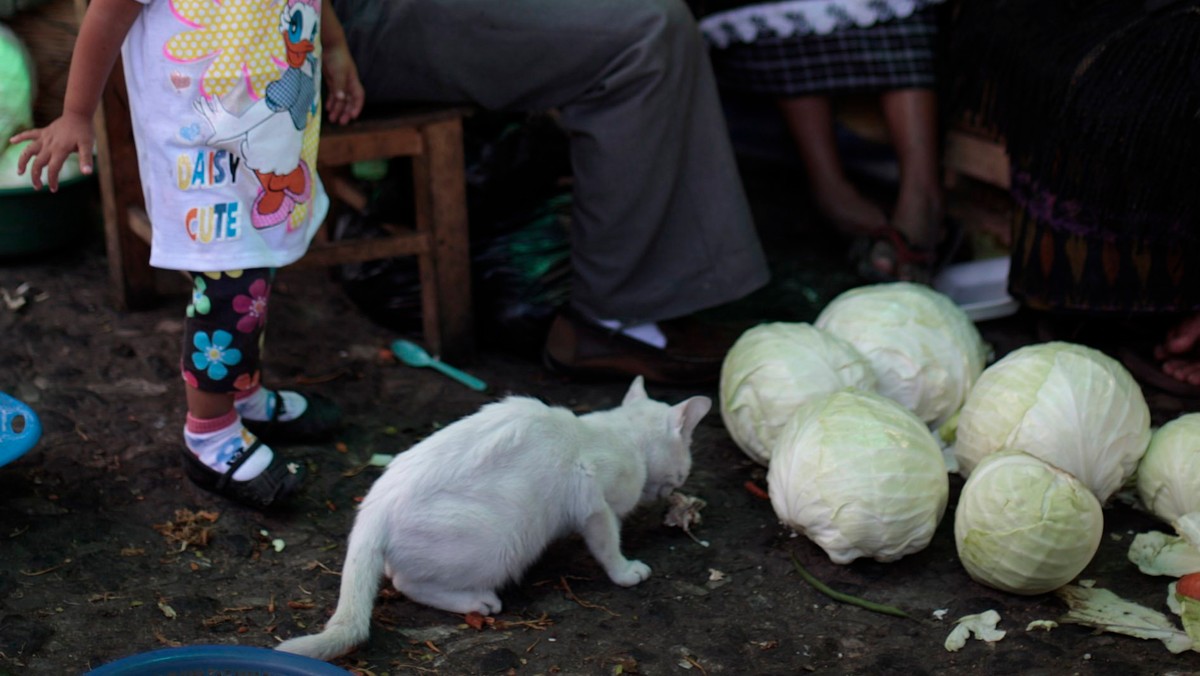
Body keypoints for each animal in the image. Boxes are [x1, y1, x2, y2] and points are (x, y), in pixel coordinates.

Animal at [274, 379, 705, 657]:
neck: (619, 434)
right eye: (685, 464)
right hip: (500, 542)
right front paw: (626, 571)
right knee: (406, 582)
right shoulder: (593, 499)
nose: (679, 482)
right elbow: (607, 543)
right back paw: (477, 601)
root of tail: (372, 513)